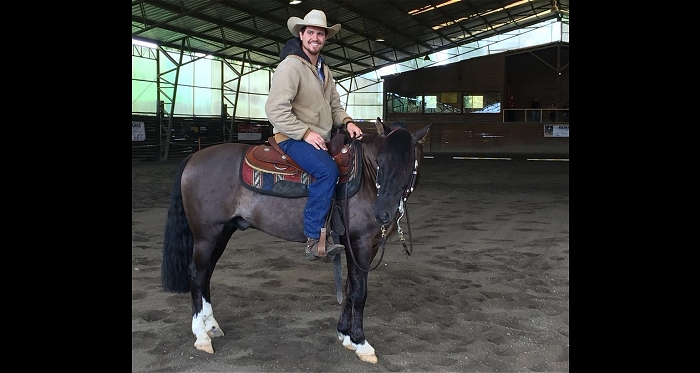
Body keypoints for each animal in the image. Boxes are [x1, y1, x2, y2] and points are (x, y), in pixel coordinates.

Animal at [161, 117, 430, 362]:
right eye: (380, 162)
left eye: (408, 166)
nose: (382, 213)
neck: (366, 179)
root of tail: (193, 158)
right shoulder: (360, 243)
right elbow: (359, 292)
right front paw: (361, 343)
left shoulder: (368, 245)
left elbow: (349, 288)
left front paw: (345, 335)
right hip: (206, 234)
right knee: (197, 275)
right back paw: (201, 336)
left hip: (222, 233)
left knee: (206, 274)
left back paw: (211, 326)